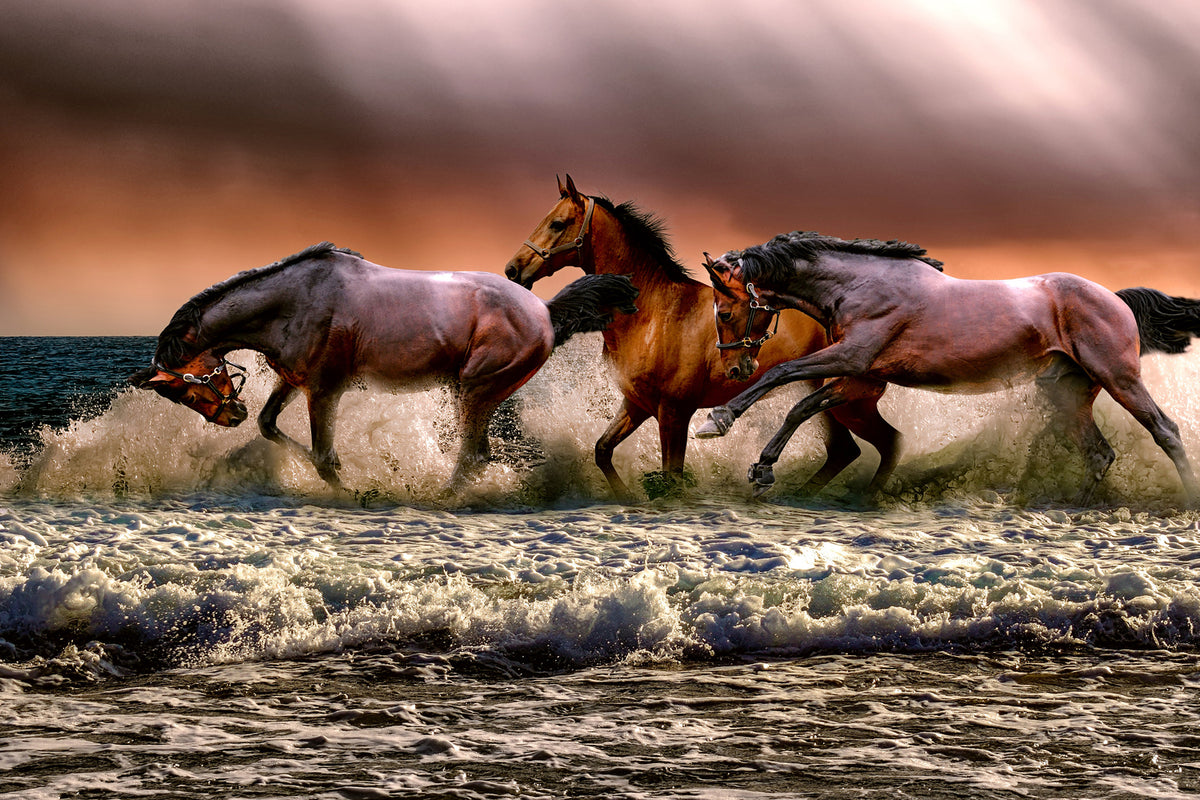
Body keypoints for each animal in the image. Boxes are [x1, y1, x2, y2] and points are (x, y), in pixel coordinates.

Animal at [129, 242, 639, 491]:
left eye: (187, 384)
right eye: (178, 395)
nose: (228, 416)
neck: (294, 302)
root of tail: (546, 311)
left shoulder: (325, 390)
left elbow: (324, 458)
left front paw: (351, 491)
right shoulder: (293, 381)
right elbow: (270, 425)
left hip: (475, 390)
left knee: (472, 457)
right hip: (476, 394)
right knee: (477, 455)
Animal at [504, 175, 903, 500]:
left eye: (557, 223)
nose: (513, 269)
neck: (655, 314)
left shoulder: (674, 412)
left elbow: (672, 477)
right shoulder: (636, 405)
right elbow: (603, 450)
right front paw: (626, 497)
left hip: (848, 402)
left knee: (884, 444)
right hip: (831, 403)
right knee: (847, 451)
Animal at [696, 231, 1200, 505]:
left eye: (724, 311)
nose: (736, 365)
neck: (859, 285)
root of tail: (1114, 298)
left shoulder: (852, 358)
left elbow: (781, 376)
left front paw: (717, 420)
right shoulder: (861, 377)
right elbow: (801, 406)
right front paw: (762, 469)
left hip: (1119, 378)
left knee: (1165, 431)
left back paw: (1188, 499)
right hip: (1067, 393)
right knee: (1099, 454)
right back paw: (1071, 510)